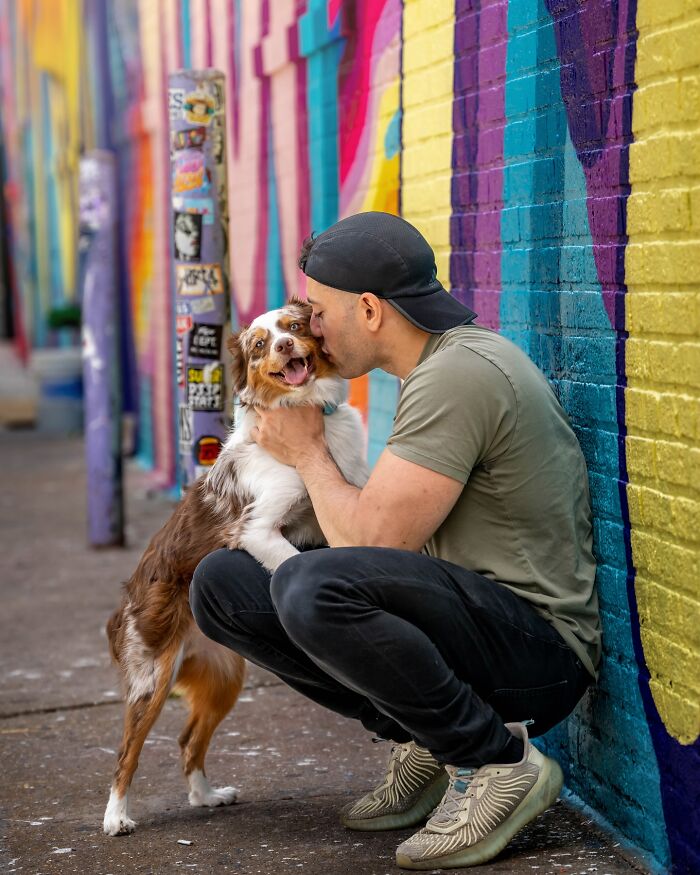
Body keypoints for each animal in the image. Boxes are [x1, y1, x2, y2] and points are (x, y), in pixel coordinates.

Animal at [102, 300, 372, 836]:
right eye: (259, 345)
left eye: (294, 327)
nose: (285, 346)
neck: (308, 412)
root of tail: (124, 607)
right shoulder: (257, 529)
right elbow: (290, 564)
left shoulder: (327, 519)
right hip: (150, 681)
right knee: (127, 753)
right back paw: (116, 817)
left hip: (225, 678)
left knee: (188, 740)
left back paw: (206, 796)